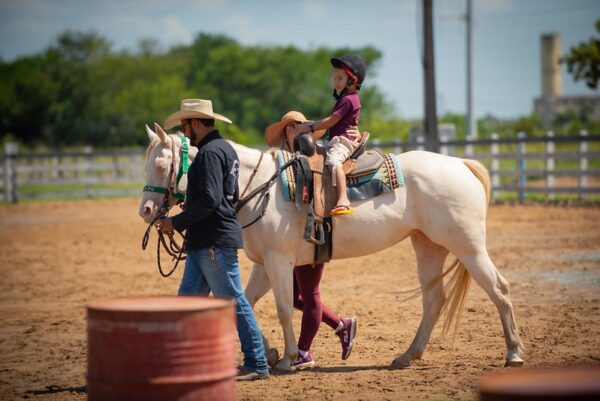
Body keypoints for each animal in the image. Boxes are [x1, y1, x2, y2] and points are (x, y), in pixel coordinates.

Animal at [138, 123, 524, 370]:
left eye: (160, 163)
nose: (146, 211)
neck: (260, 186)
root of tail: (461, 164)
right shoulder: (264, 263)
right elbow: (245, 302)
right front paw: (272, 352)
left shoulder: (278, 261)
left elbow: (282, 309)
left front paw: (289, 358)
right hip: (428, 246)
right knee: (434, 301)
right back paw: (407, 356)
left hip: (468, 247)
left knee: (499, 289)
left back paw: (514, 353)